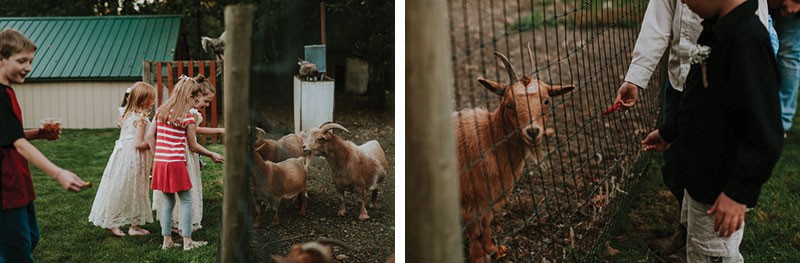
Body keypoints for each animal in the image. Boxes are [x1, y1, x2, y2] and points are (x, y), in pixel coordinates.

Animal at [454, 48, 572, 262]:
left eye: (546, 101)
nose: (532, 132)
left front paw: (493, 250)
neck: (488, 138)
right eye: (509, 104)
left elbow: (486, 224)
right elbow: (475, 231)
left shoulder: (489, 198)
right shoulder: (469, 201)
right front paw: (478, 257)